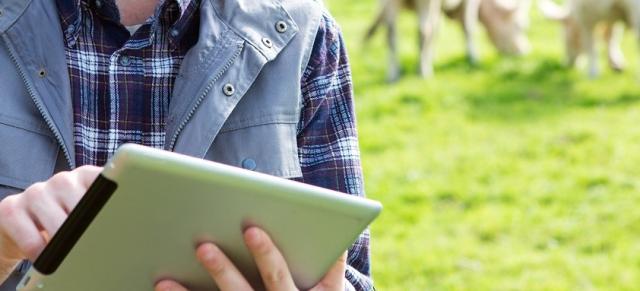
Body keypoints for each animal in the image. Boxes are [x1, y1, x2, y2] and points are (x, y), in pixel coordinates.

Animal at [364, 0, 528, 81]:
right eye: (520, 26)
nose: (524, 51)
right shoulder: (470, 1)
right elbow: (468, 25)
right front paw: (473, 57)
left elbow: (436, 29)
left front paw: (430, 56)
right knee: (423, 30)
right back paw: (424, 72)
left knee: (391, 33)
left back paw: (394, 73)